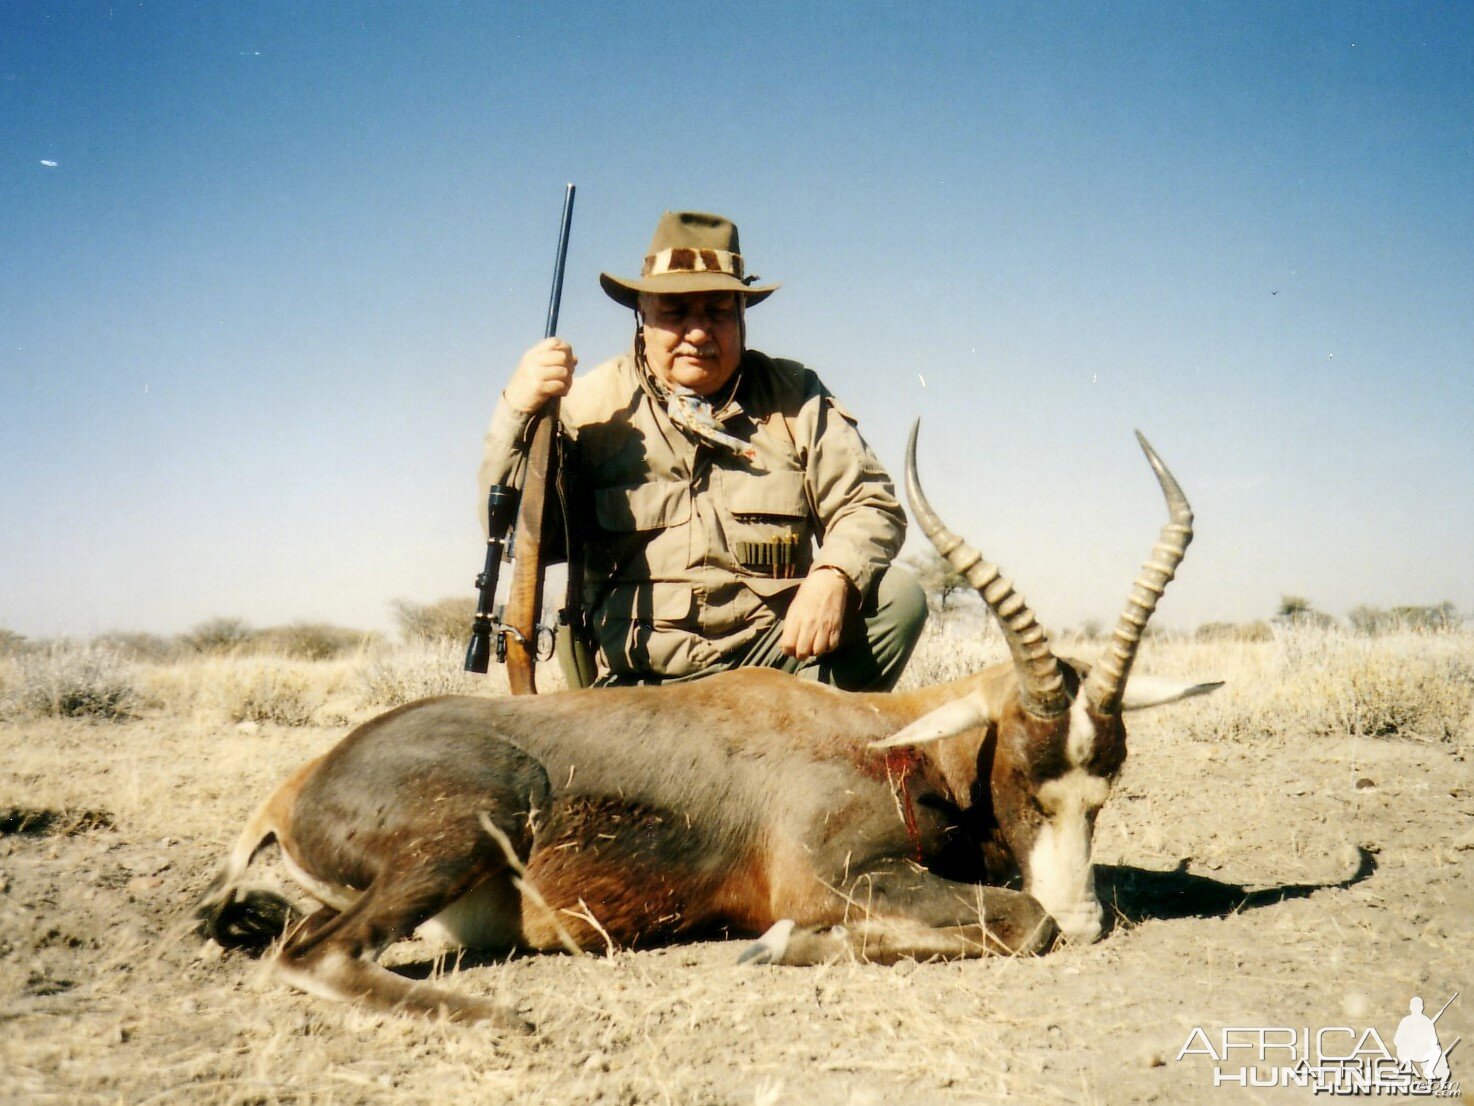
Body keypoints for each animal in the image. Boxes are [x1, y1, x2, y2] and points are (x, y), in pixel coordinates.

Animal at [196, 421, 1214, 1020]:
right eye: (1025, 782)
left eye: (1106, 786)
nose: (1088, 922)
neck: (879, 734)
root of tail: (295, 789)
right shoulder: (834, 877)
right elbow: (1015, 922)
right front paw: (784, 946)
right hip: (467, 828)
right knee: (314, 956)